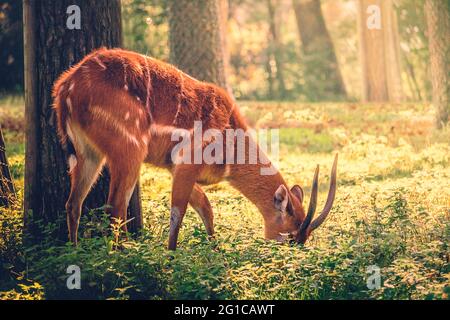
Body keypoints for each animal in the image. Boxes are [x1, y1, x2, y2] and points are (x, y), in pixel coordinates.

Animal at [51, 48, 338, 251]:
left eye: (304, 237)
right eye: (291, 235)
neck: (231, 142)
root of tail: (66, 87)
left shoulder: (174, 168)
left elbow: (206, 207)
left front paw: (215, 249)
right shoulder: (185, 165)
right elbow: (178, 213)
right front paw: (172, 256)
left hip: (88, 153)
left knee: (73, 203)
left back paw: (76, 252)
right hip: (129, 149)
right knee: (115, 205)